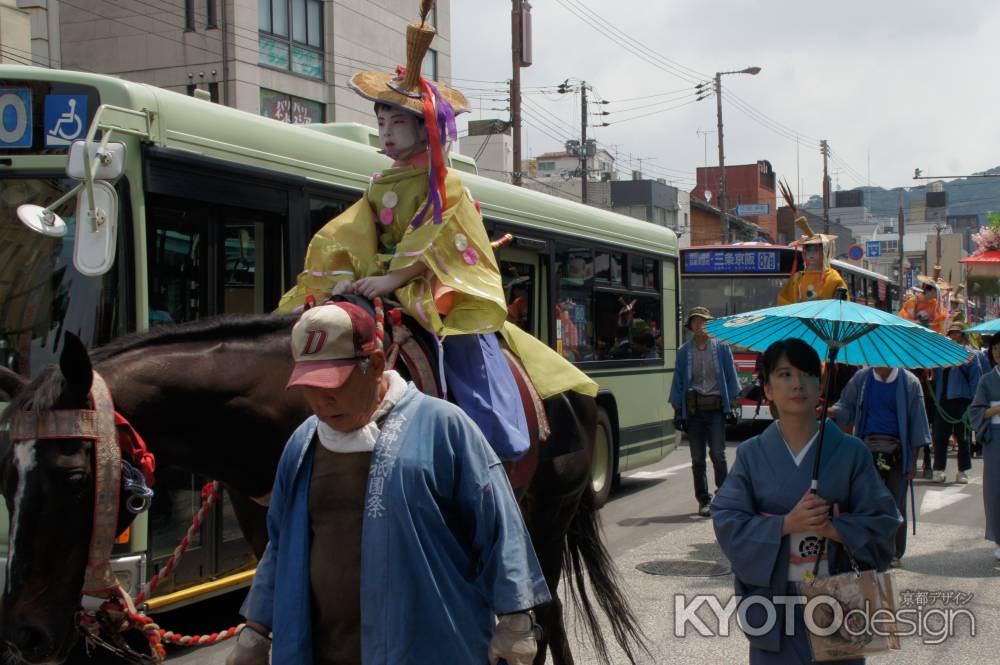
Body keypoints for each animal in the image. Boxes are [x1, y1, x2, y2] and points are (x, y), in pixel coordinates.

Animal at [0, 310, 644, 664]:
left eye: (72, 476)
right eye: (7, 479)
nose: (24, 634)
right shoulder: (274, 536)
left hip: (546, 517)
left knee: (543, 615)